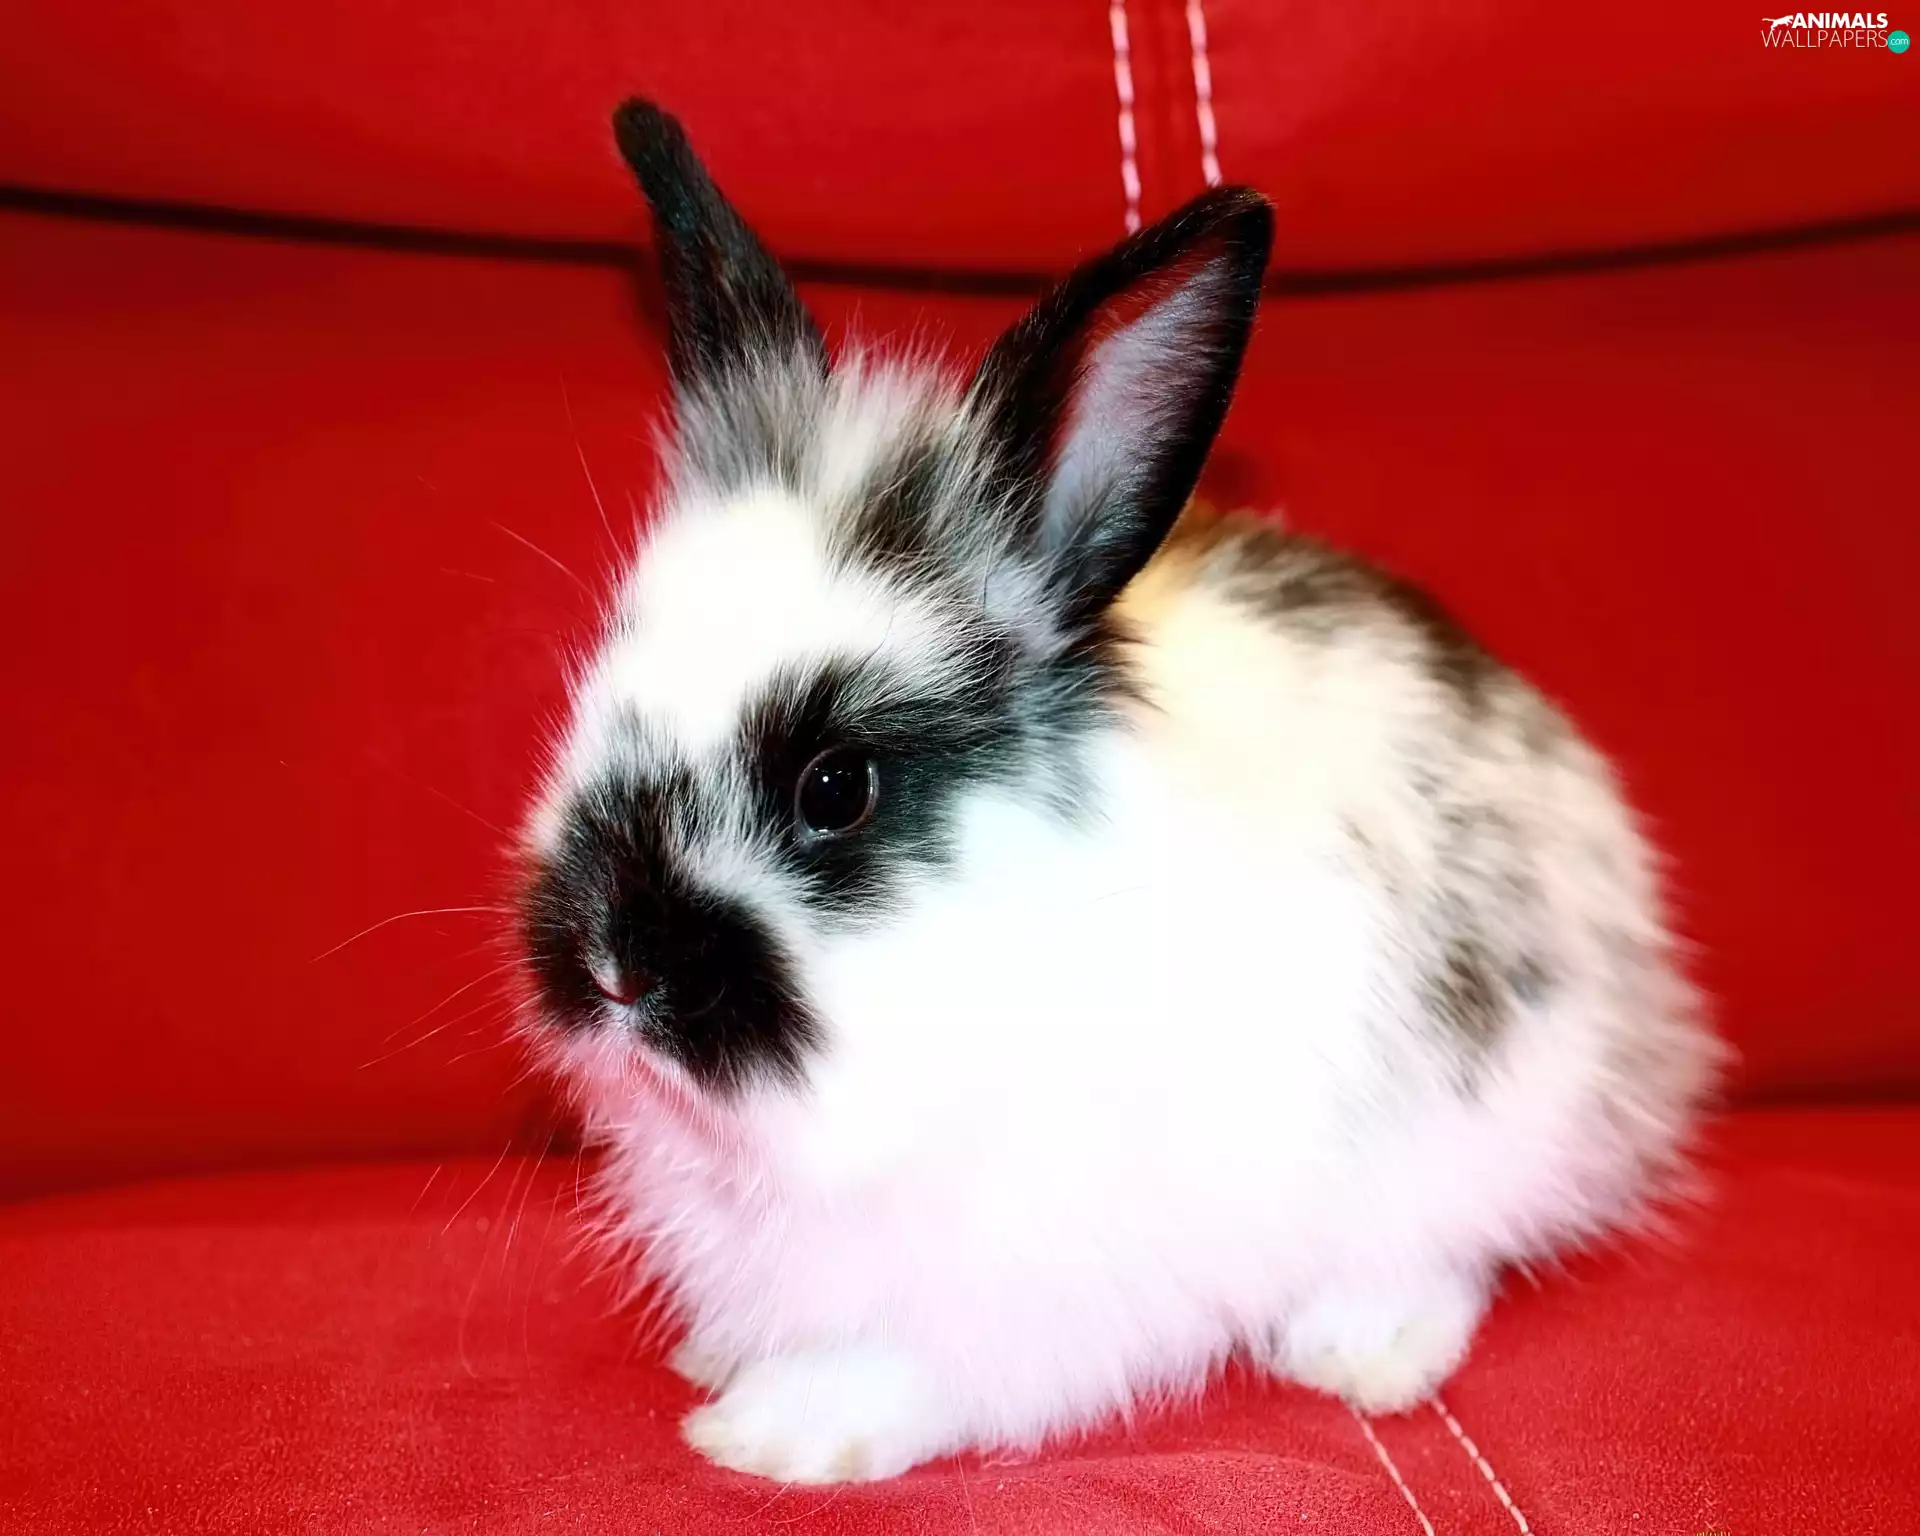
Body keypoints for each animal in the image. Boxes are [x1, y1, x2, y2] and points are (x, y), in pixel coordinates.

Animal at [513, 98, 1723, 1484]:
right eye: (605, 681)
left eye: (836, 787)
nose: (613, 963)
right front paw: (721, 1364)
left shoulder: (1012, 1283)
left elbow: (907, 1367)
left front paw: (773, 1432)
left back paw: (1359, 1351)